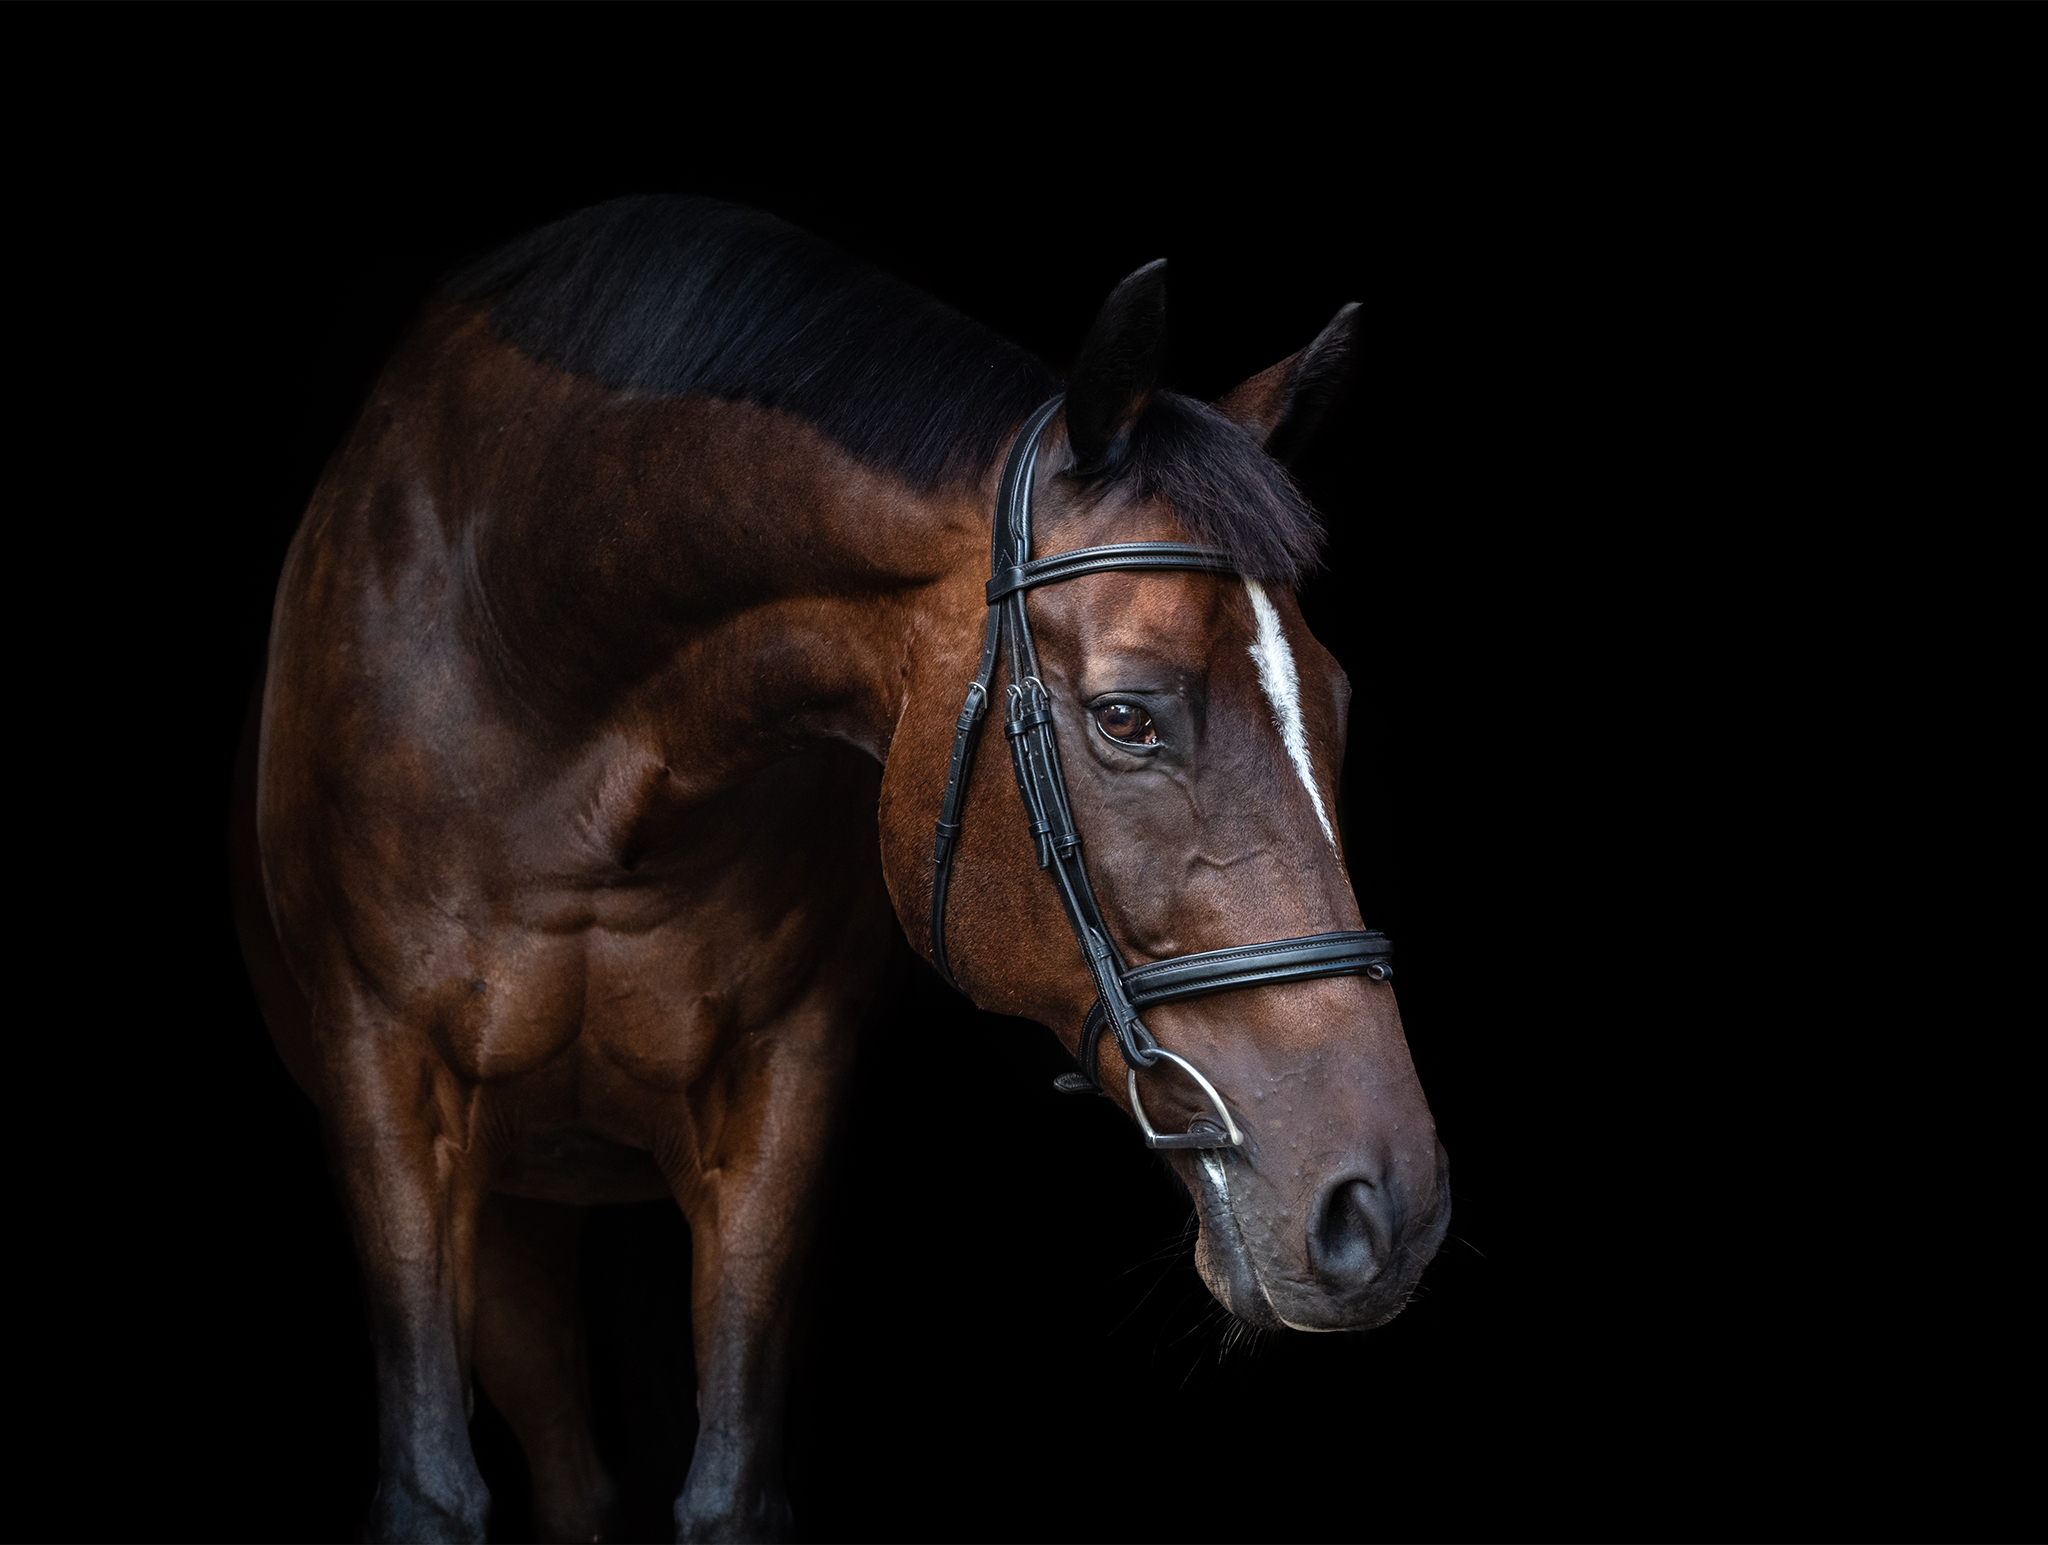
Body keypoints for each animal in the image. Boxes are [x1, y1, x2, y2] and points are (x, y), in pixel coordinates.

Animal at [232, 195, 1450, 1543]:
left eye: (1337, 703)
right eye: (1127, 717)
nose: (1383, 1208)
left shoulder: (778, 1091)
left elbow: (729, 1485)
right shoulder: (382, 1080)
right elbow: (431, 1491)